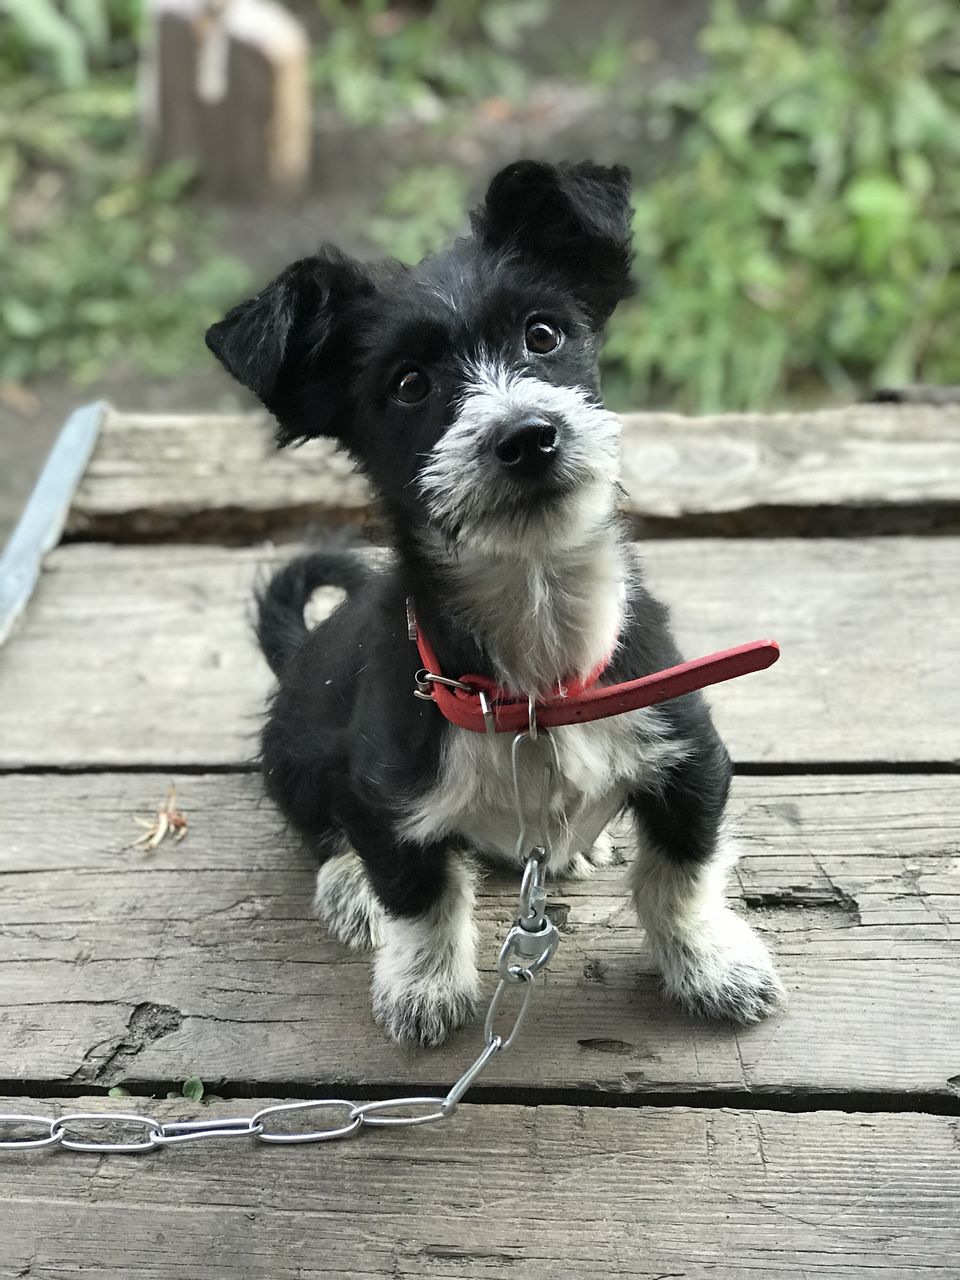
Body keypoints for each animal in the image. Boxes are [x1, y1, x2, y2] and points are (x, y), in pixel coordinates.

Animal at [207, 160, 783, 1044]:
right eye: (409, 384)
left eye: (542, 336)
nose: (526, 437)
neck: (538, 669)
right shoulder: (385, 791)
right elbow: (419, 893)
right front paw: (424, 985)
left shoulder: (691, 754)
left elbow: (680, 874)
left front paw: (713, 964)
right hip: (293, 753)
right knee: (321, 828)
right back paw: (347, 883)